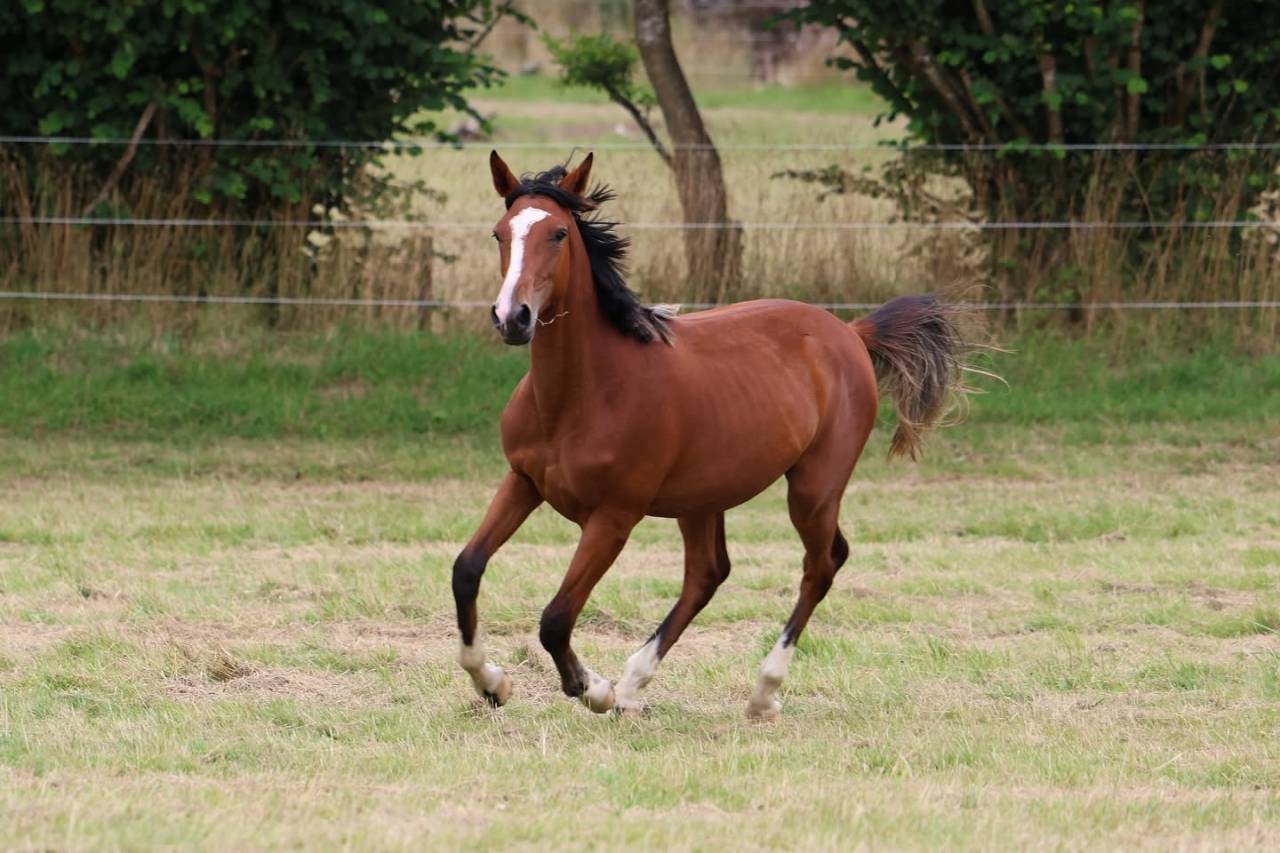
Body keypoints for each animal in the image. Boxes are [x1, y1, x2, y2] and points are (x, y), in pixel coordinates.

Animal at [453, 151, 971, 719]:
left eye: (560, 233)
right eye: (500, 232)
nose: (512, 317)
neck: (579, 395)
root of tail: (851, 333)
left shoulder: (614, 517)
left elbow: (556, 617)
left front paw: (593, 689)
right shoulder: (523, 481)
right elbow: (467, 569)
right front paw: (491, 683)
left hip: (814, 487)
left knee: (821, 564)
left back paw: (760, 691)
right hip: (700, 498)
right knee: (708, 573)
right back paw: (635, 686)